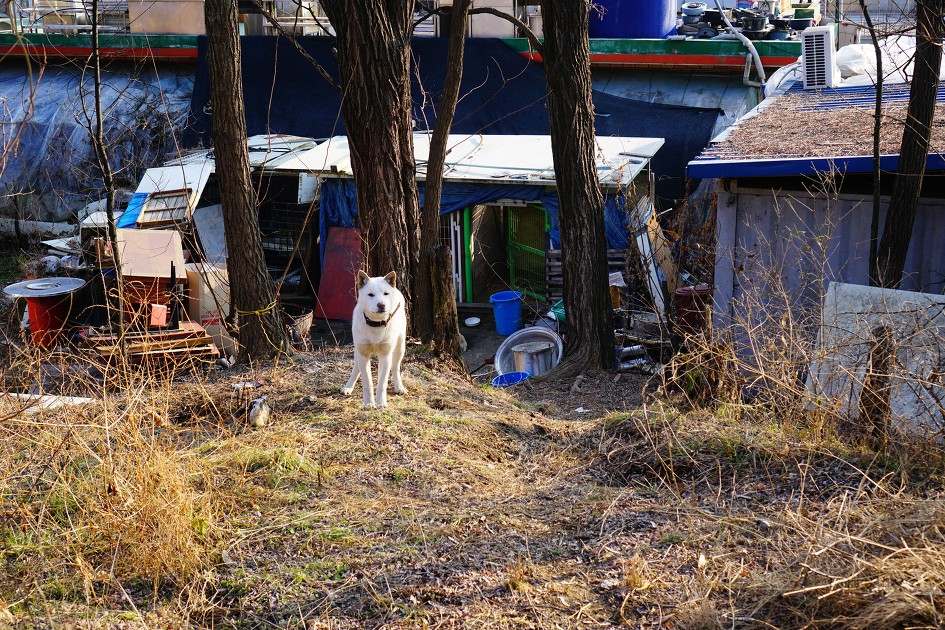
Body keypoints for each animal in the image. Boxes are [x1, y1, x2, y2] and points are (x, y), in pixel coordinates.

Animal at [342, 272, 410, 410]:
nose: (381, 305)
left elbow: (382, 383)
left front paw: (381, 403)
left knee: (395, 367)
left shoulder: (385, 355)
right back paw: (348, 386)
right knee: (356, 368)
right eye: (371, 294)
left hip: (400, 347)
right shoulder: (363, 353)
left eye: (385, 293)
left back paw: (399, 387)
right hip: (358, 351)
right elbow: (367, 382)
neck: (376, 324)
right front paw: (368, 403)